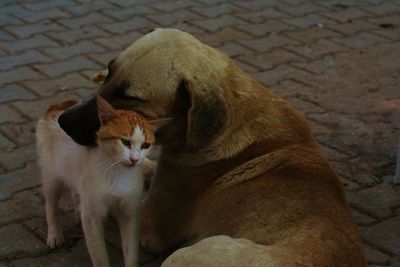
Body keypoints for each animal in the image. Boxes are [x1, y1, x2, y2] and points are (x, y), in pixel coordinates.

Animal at [36, 96, 169, 267]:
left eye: (145, 145)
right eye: (125, 142)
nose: (135, 160)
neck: (117, 172)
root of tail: (59, 104)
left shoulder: (130, 212)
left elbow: (131, 251)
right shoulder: (92, 217)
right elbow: (99, 256)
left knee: (75, 190)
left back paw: (78, 212)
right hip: (52, 176)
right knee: (51, 204)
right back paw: (54, 234)